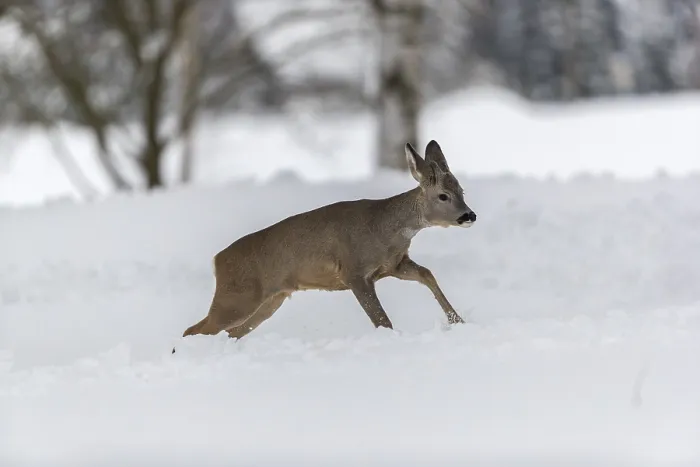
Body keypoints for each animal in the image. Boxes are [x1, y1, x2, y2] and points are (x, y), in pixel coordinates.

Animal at [174, 140, 476, 352]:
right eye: (443, 195)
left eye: (462, 191)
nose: (469, 215)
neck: (385, 227)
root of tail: (217, 261)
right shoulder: (353, 271)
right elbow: (382, 320)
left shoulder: (394, 264)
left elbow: (427, 274)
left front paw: (458, 321)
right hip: (238, 296)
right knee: (195, 329)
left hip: (270, 300)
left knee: (229, 333)